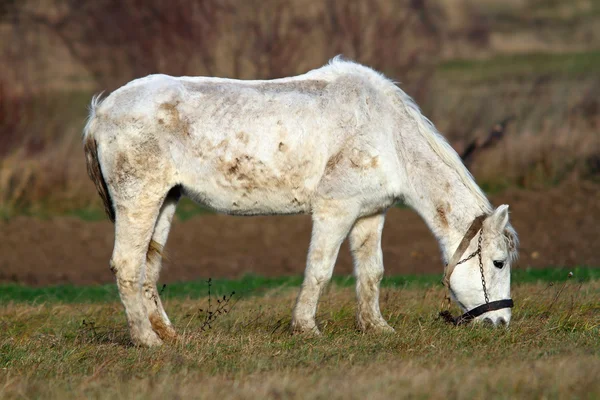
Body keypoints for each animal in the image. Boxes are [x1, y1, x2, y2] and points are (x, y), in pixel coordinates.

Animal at [83, 57, 516, 346]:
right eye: (498, 262)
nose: (502, 322)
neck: (386, 132)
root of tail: (101, 111)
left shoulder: (370, 214)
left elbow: (371, 273)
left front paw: (375, 327)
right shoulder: (335, 210)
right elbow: (319, 270)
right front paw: (306, 328)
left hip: (165, 201)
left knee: (148, 267)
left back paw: (168, 334)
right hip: (139, 200)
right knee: (127, 265)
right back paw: (146, 340)